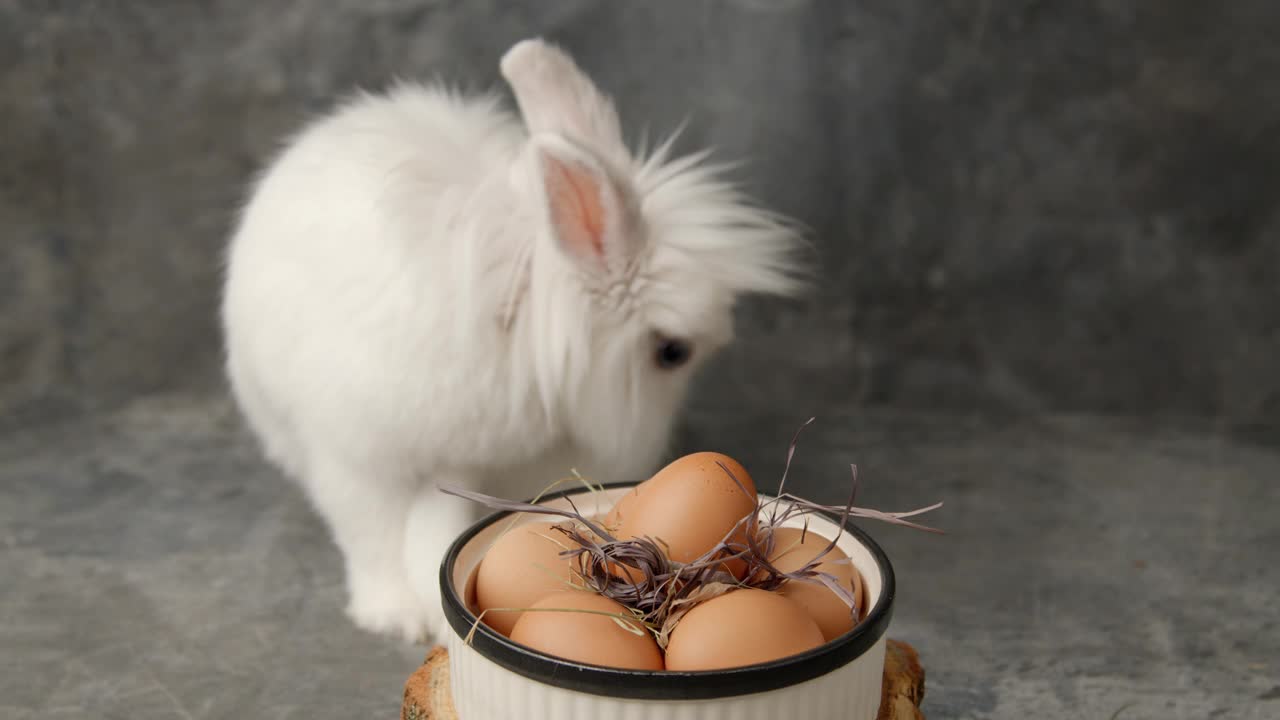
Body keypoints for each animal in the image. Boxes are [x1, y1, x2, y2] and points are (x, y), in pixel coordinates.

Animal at [216, 39, 803, 640]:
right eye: (672, 353)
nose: (654, 445)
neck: (527, 318)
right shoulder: (360, 458)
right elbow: (374, 534)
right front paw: (397, 614)